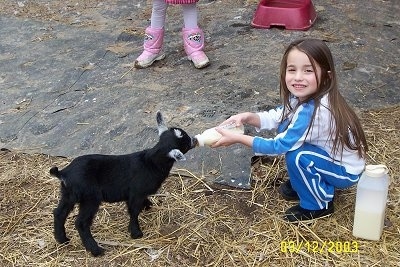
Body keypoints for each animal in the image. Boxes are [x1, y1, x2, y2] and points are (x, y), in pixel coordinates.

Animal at [49, 111, 196, 258]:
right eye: (185, 143)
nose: (194, 140)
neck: (150, 162)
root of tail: (64, 173)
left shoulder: (136, 194)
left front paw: (148, 205)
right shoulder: (136, 193)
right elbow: (134, 211)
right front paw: (136, 233)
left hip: (68, 194)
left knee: (59, 213)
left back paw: (62, 239)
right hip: (90, 198)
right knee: (81, 223)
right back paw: (96, 250)